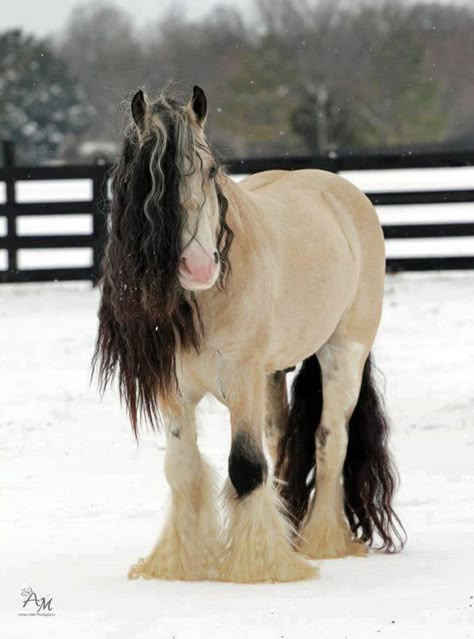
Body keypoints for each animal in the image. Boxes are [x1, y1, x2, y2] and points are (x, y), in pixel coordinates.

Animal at [94, 86, 406, 584]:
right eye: (147, 178)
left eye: (210, 170)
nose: (199, 267)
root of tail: (341, 192)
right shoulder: (174, 389)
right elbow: (183, 469)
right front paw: (181, 564)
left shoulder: (241, 379)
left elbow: (245, 468)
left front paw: (256, 566)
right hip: (273, 373)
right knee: (281, 438)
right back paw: (291, 530)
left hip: (343, 354)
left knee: (329, 440)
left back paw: (322, 541)